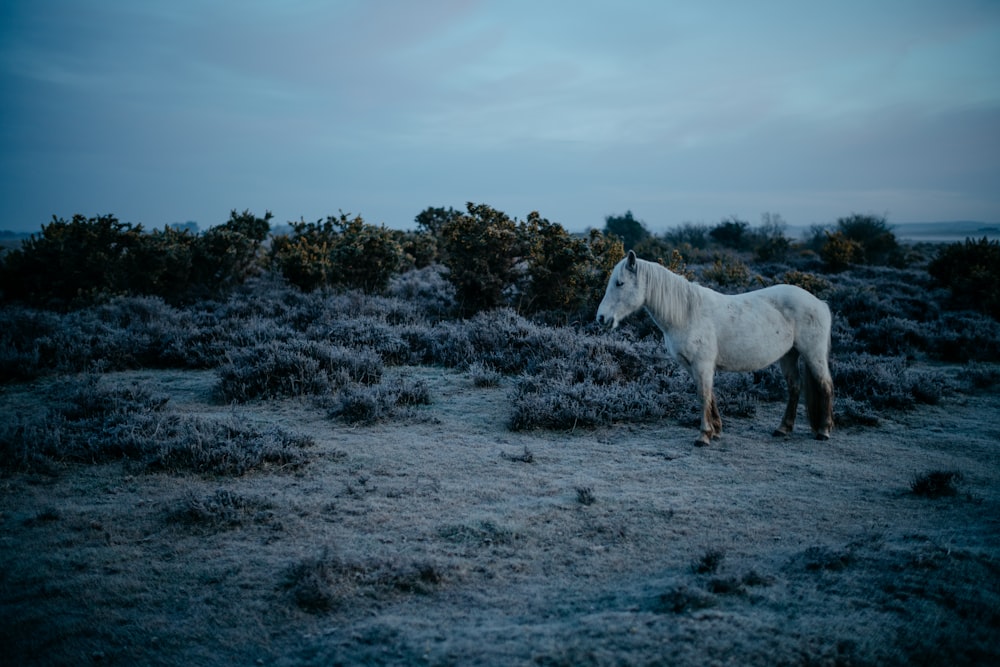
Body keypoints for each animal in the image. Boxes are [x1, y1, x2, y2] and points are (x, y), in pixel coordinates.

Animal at [596, 253, 832, 446]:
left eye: (620, 283)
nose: (601, 318)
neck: (687, 314)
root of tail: (819, 303)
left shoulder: (702, 365)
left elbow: (703, 395)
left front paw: (703, 436)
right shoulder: (694, 366)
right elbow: (710, 396)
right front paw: (716, 430)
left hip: (813, 355)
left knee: (825, 385)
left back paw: (823, 430)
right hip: (789, 355)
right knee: (794, 387)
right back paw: (783, 428)